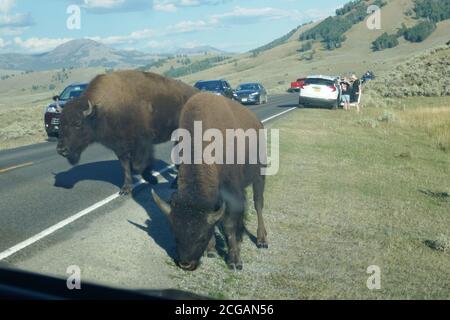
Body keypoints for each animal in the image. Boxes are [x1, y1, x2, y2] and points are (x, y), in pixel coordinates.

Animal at [55, 70, 197, 195]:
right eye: (60, 123)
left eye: (78, 123)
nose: (61, 149)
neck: (103, 109)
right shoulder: (120, 147)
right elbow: (126, 167)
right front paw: (126, 189)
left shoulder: (143, 142)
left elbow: (138, 165)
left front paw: (152, 179)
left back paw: (175, 183)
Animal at [151, 92, 268, 270]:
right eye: (175, 234)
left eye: (201, 237)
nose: (186, 264)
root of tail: (257, 123)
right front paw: (212, 250)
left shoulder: (231, 193)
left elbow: (228, 224)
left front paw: (234, 261)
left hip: (259, 176)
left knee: (258, 204)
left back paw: (262, 240)